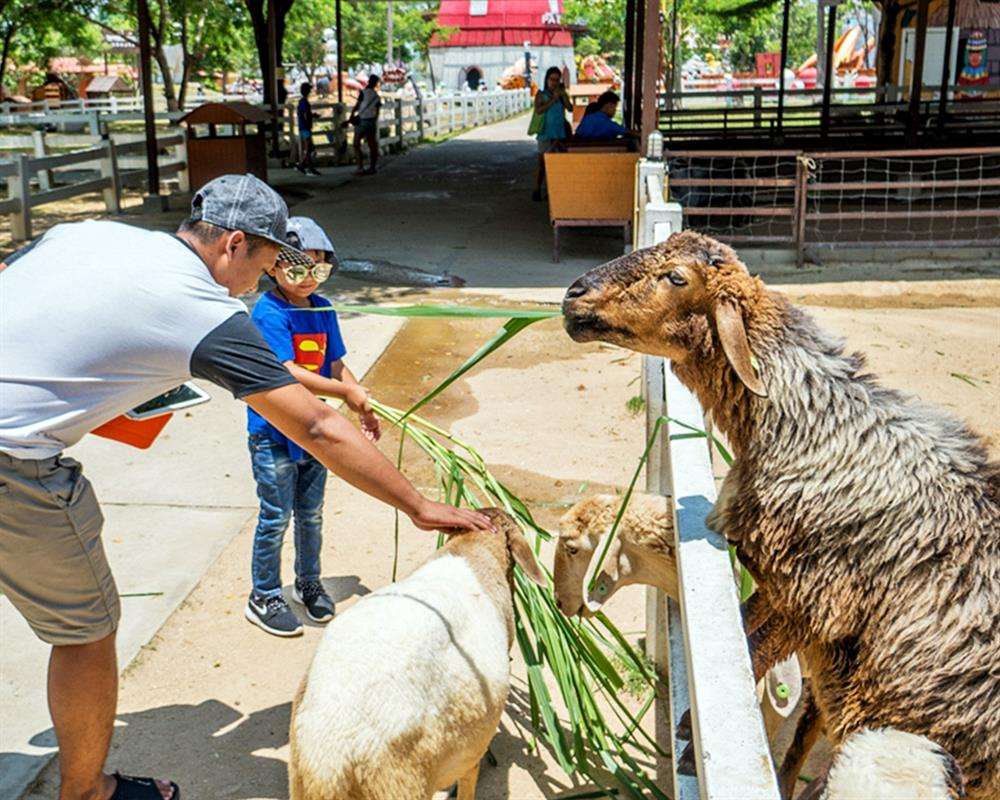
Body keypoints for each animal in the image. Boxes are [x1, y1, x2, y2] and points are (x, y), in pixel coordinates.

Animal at [288, 508, 547, 800]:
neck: (473, 546)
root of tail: (329, 761)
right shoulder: (472, 749)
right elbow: (468, 781)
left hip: (299, 780)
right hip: (403, 785)